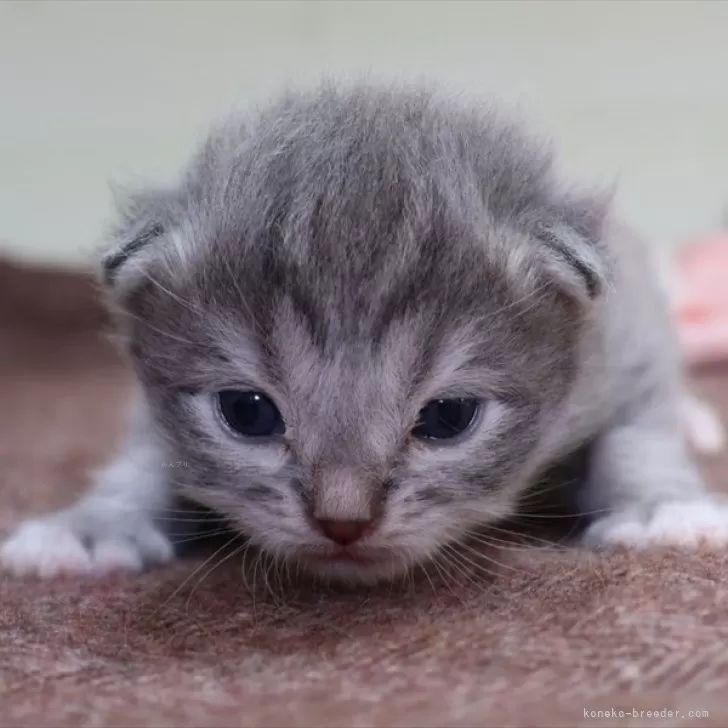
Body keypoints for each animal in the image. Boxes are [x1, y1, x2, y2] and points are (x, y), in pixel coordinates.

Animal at [2, 84, 724, 584]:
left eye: (448, 417)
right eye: (247, 413)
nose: (344, 521)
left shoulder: (626, 343)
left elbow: (637, 438)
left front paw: (663, 511)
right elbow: (144, 460)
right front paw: (90, 527)